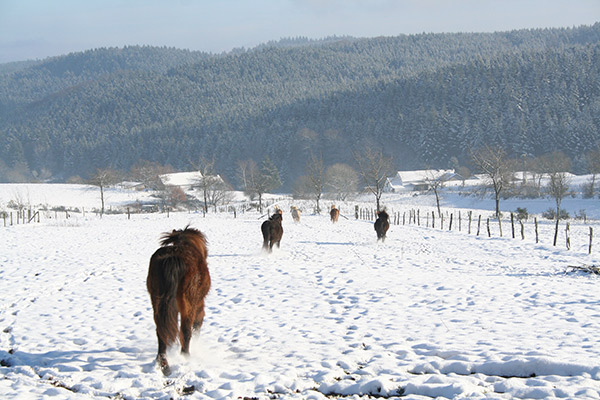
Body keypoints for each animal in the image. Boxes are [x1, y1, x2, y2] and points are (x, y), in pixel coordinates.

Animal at [147, 227, 211, 376]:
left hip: (158, 303)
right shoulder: (199, 305)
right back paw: (185, 357)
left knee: (161, 332)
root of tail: (173, 257)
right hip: (188, 304)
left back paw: (163, 364)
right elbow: (196, 325)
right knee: (186, 330)